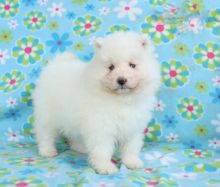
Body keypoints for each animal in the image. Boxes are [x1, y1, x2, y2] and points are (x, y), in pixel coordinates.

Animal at [33, 31, 160, 175]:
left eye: (132, 65)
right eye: (111, 67)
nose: (121, 80)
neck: (121, 100)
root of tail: (56, 63)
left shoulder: (133, 127)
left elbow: (131, 147)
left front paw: (131, 162)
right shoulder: (101, 127)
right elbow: (102, 149)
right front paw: (105, 167)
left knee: (72, 133)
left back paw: (79, 147)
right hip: (47, 114)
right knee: (45, 133)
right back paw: (47, 150)